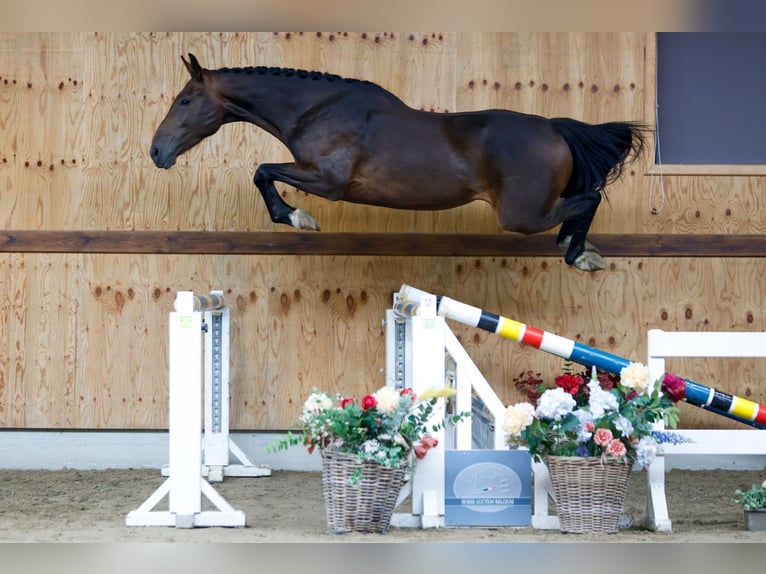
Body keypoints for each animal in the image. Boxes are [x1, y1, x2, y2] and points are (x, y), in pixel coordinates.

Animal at [150, 53, 648, 272]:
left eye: (185, 99)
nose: (157, 151)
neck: (319, 110)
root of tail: (555, 129)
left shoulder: (328, 181)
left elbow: (262, 171)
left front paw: (297, 217)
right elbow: (264, 172)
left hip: (520, 216)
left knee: (589, 199)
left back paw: (580, 255)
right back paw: (575, 246)